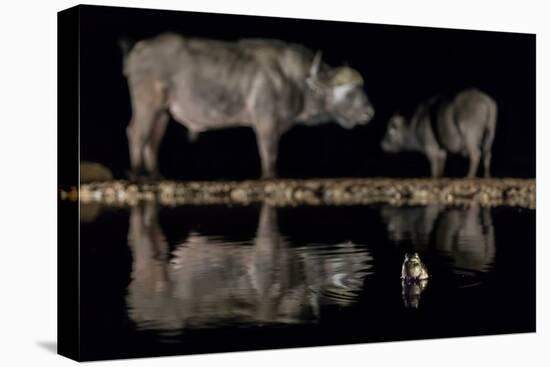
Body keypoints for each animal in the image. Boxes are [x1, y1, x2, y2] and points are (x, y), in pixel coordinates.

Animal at [123, 33, 378, 180]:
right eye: (349, 92)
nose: (369, 112)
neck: (295, 81)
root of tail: (138, 50)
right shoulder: (266, 122)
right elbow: (269, 153)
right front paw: (270, 177)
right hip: (148, 102)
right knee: (137, 133)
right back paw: (136, 174)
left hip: (163, 110)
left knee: (152, 139)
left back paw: (156, 176)